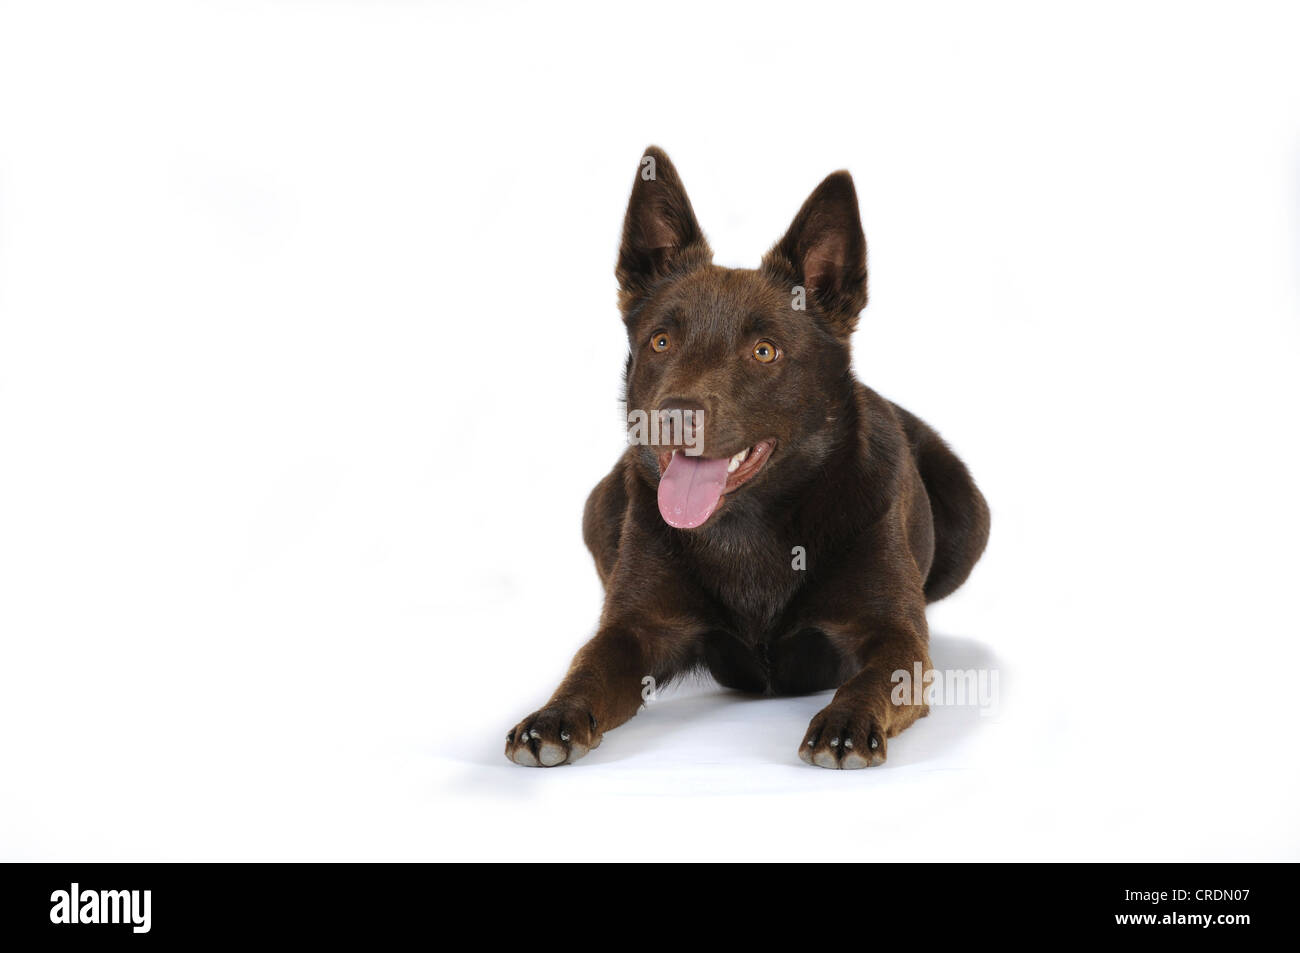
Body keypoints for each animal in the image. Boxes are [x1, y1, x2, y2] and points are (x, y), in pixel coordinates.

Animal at [501, 150, 987, 774]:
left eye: (764, 352)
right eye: (661, 341)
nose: (675, 417)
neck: (744, 527)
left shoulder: (894, 638)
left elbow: (874, 677)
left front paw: (846, 721)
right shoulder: (633, 628)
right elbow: (588, 666)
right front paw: (554, 714)